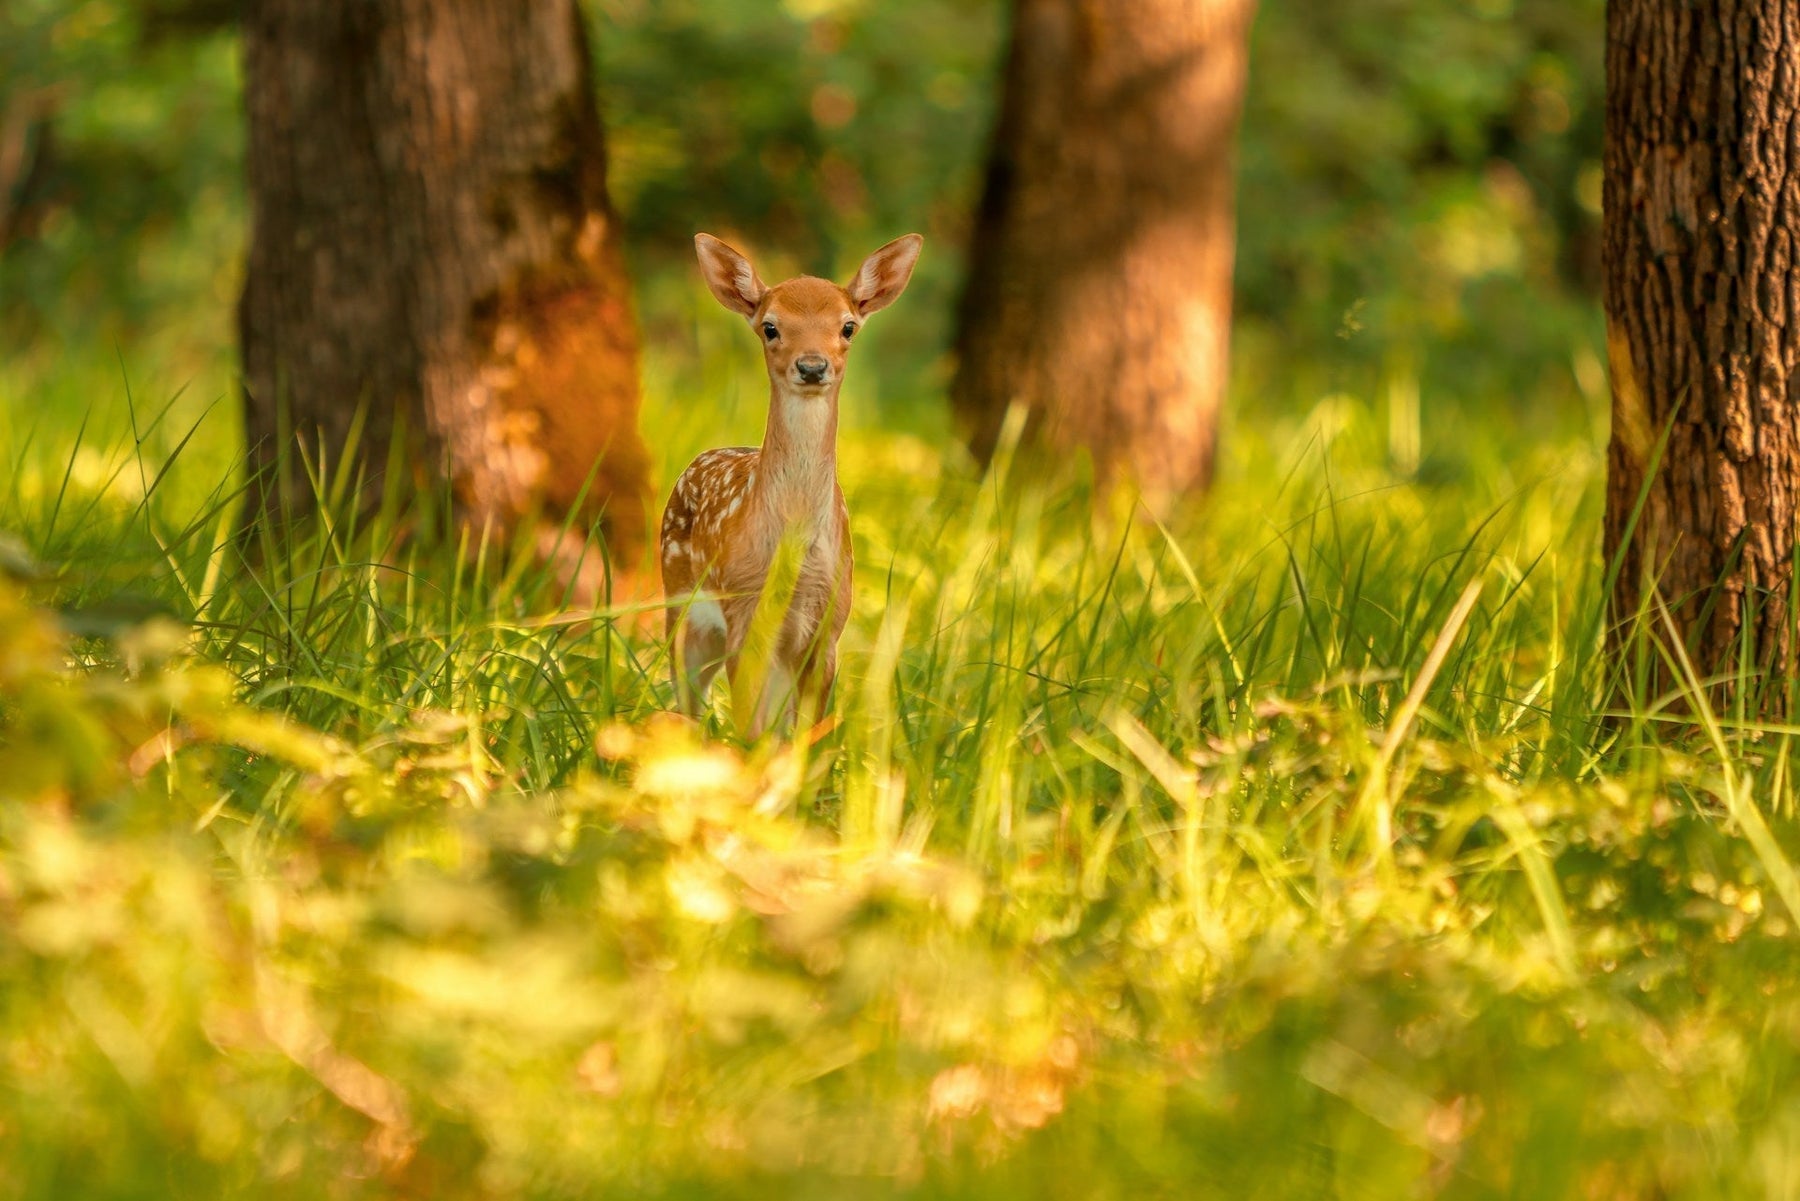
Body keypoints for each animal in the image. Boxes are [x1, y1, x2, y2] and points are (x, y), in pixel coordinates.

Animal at [660, 231, 923, 737]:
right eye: (770, 327)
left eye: (848, 327)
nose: (813, 366)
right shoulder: (745, 616)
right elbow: (751, 734)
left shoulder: (829, 625)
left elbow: (805, 738)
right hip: (680, 606)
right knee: (687, 705)